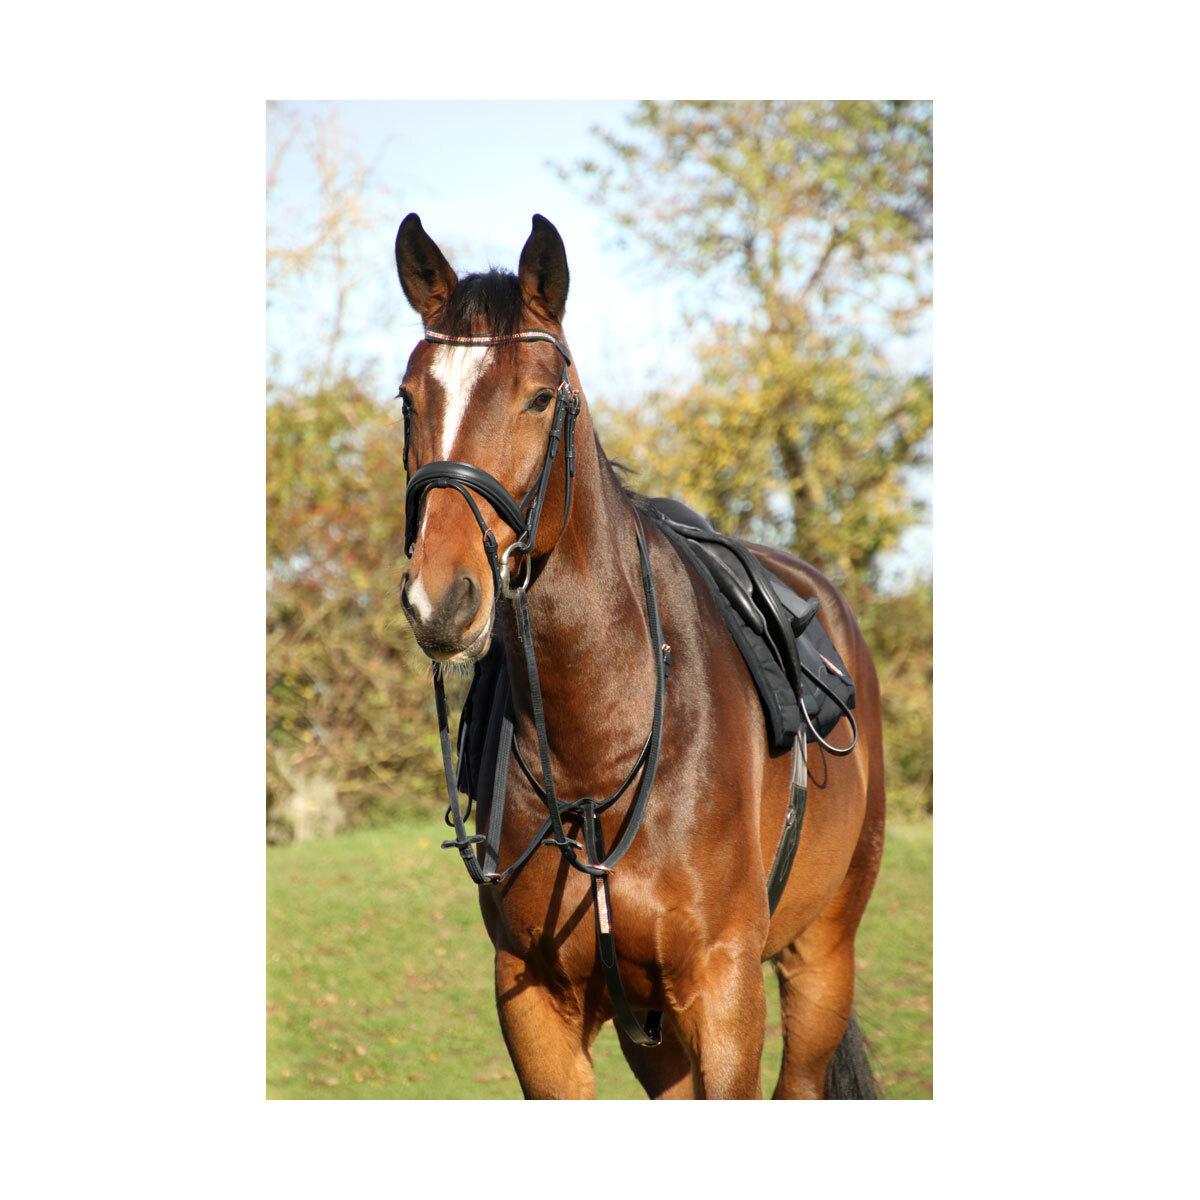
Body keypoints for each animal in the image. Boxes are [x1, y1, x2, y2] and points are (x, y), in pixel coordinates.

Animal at [394, 212, 886, 1099]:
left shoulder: (726, 999)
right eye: (410, 400)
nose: (440, 601)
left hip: (821, 963)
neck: (597, 747)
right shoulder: (536, 1006)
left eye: (540, 397)